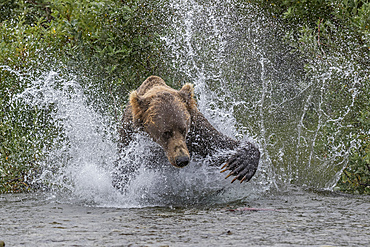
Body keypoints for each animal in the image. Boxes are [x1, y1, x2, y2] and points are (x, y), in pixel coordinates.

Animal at [118, 76, 260, 184]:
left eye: (184, 129)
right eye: (165, 133)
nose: (182, 160)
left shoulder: (197, 130)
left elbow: (219, 145)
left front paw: (241, 164)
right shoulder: (129, 135)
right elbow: (124, 169)